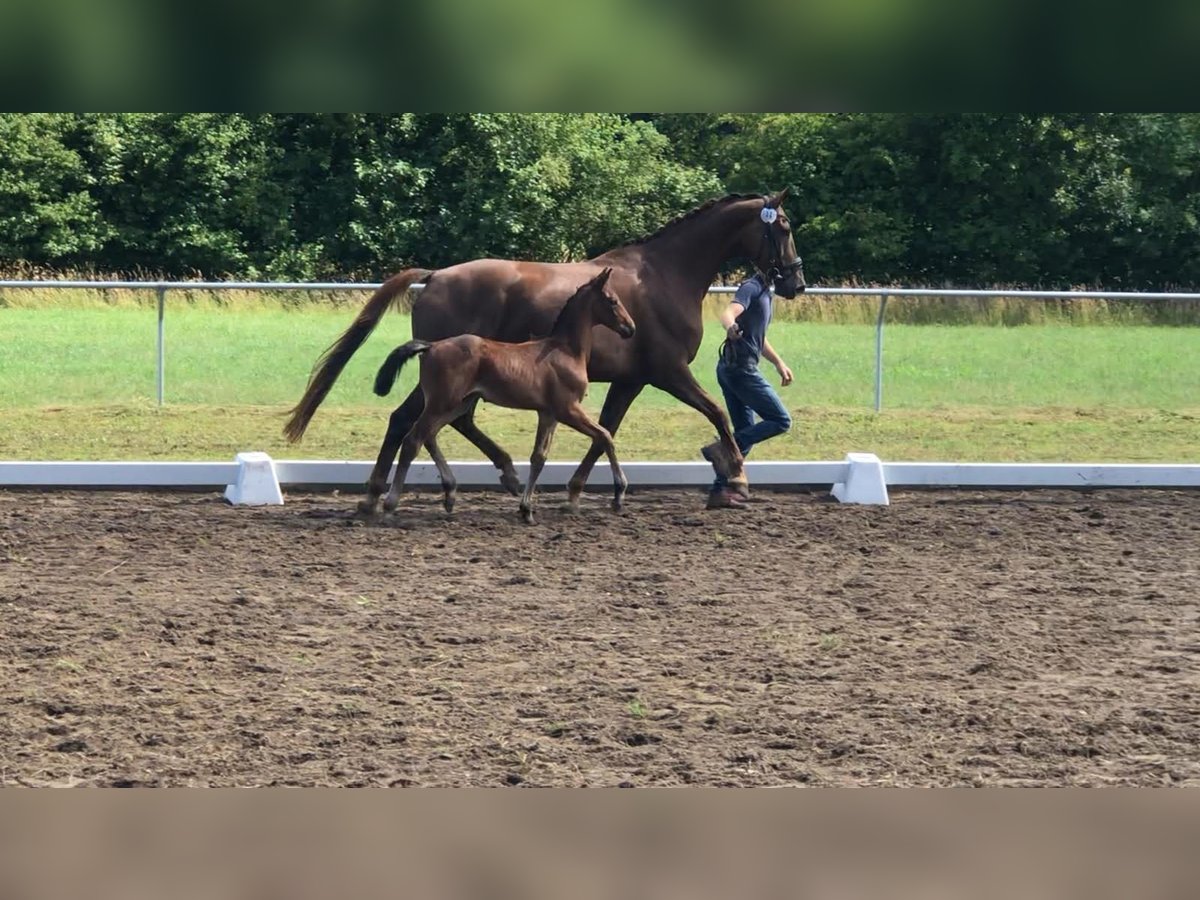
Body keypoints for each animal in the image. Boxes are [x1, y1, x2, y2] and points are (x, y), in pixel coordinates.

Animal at [369, 266, 638, 520]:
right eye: (612, 300)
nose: (630, 328)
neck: (565, 350)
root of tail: (431, 346)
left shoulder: (548, 413)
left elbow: (539, 457)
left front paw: (526, 509)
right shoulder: (568, 409)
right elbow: (605, 436)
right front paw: (619, 494)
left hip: (458, 403)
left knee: (430, 435)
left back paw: (450, 494)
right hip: (442, 402)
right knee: (413, 440)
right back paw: (391, 503)